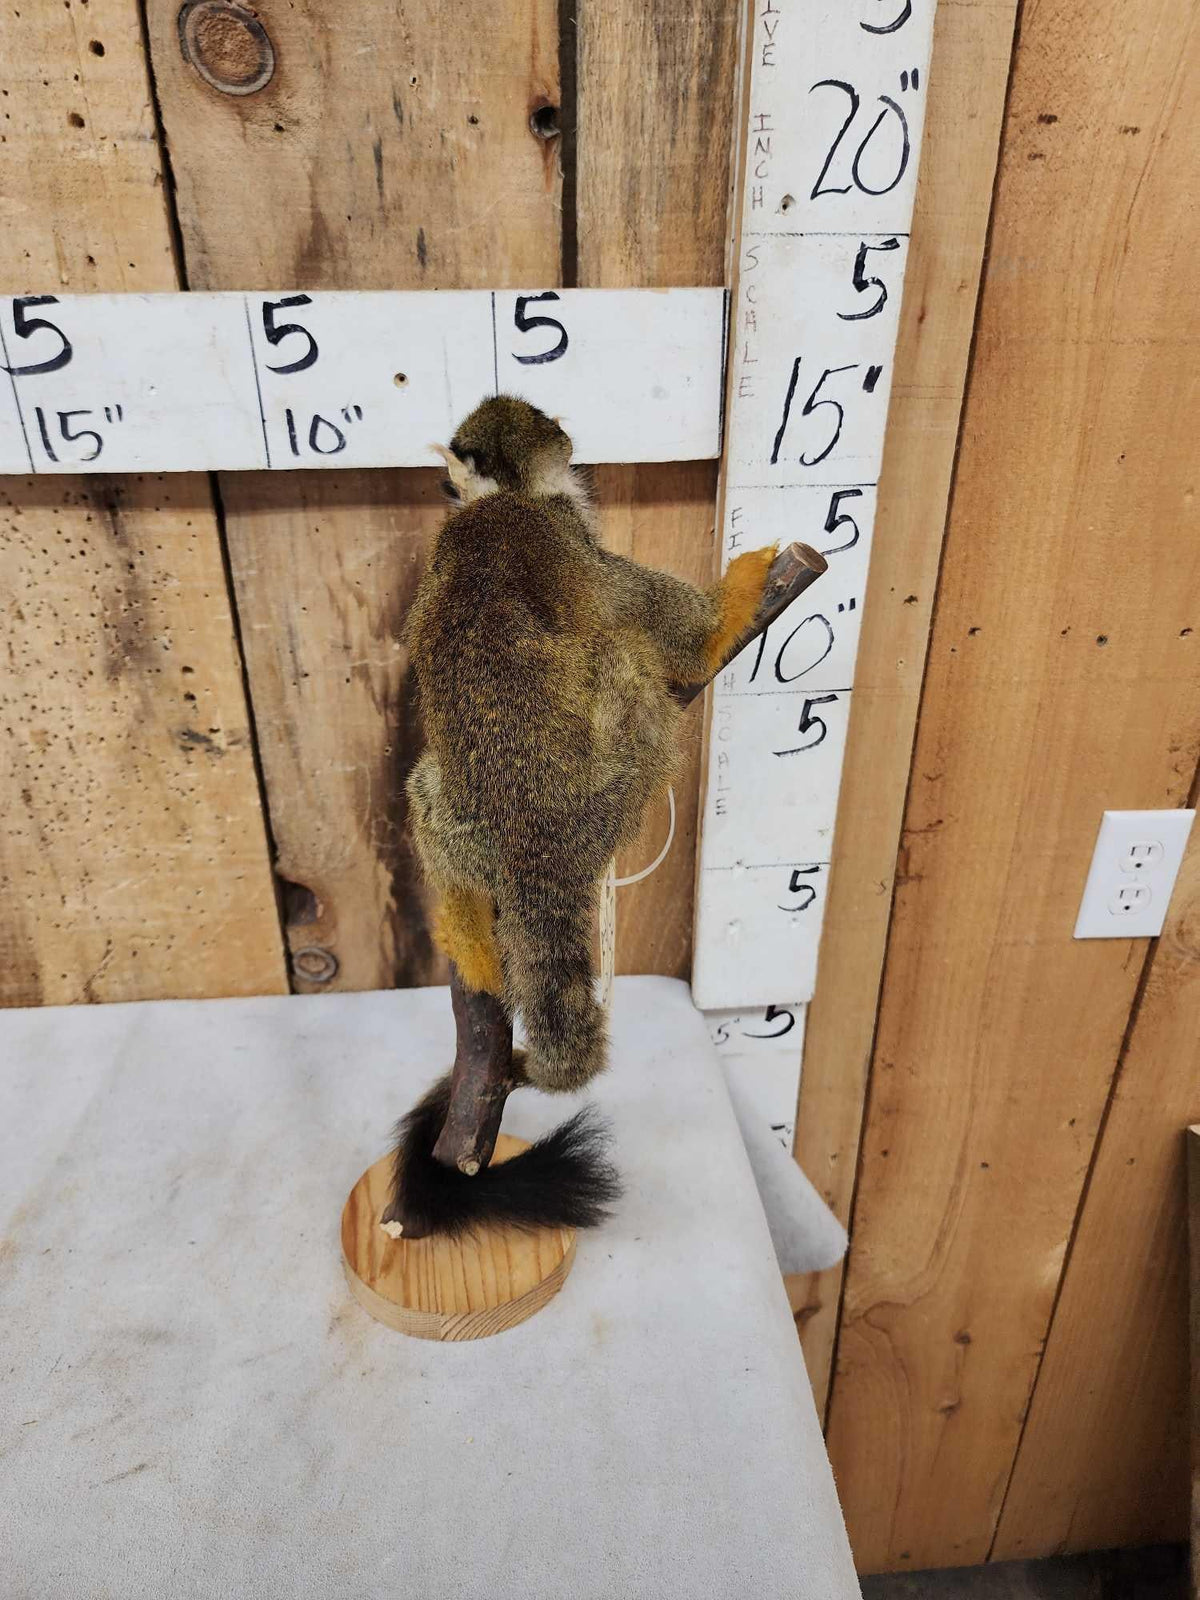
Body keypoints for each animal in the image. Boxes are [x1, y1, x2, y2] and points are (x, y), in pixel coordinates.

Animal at [389, 395, 778, 1234]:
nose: (570, 440)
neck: (500, 500)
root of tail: (539, 841)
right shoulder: (565, 528)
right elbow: (669, 627)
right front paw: (736, 597)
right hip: (614, 785)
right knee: (627, 652)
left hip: (470, 827)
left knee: (429, 788)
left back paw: (467, 930)